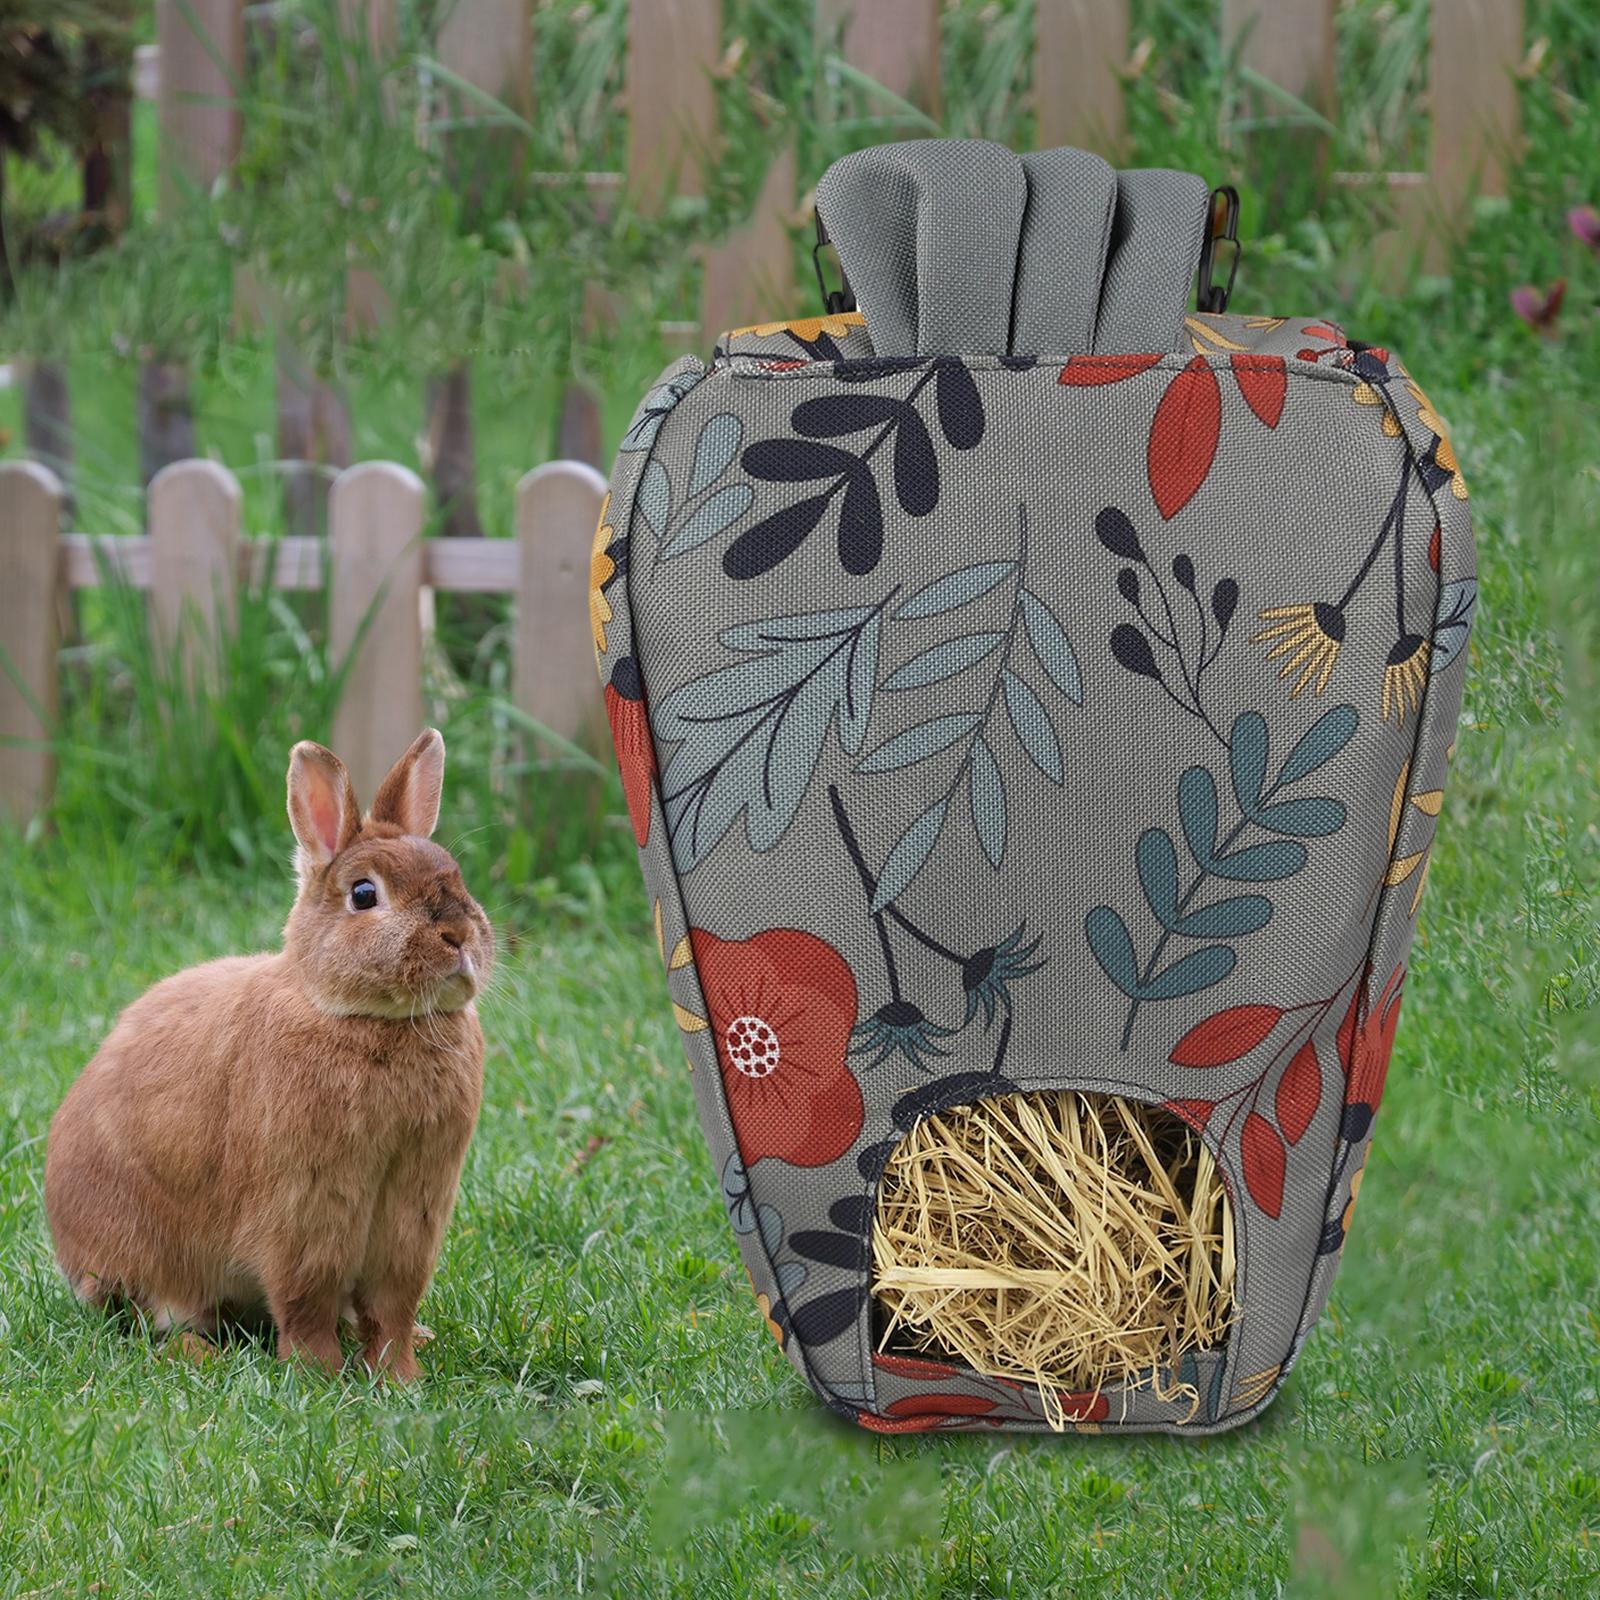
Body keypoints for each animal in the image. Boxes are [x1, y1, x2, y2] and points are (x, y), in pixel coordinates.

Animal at [44, 729, 494, 1381]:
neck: (364, 1018)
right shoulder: (305, 1208)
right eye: (364, 894)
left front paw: (400, 1377)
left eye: (456, 876)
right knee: (153, 1319)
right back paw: (196, 1354)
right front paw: (318, 1374)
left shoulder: (413, 1214)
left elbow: (391, 1306)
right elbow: (307, 1299)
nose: (459, 936)